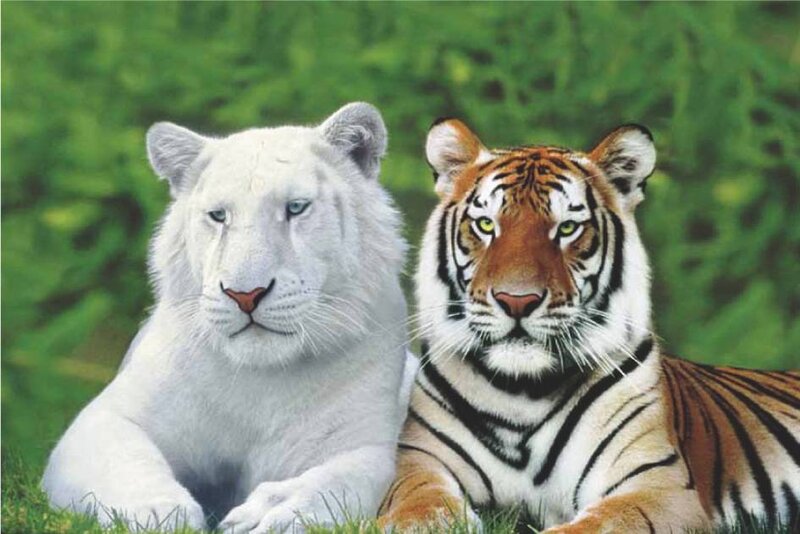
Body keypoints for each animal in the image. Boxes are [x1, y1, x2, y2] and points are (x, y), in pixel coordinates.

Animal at [378, 118, 800, 533]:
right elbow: (419, 503)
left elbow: (596, 524)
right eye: (485, 225)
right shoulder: (418, 461)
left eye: (567, 228)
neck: (522, 394)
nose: (517, 300)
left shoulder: (655, 485)